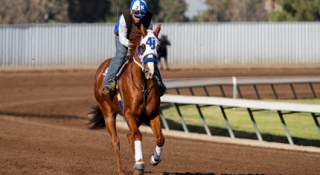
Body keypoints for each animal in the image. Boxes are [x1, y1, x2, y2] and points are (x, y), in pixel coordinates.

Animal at [87, 23, 165, 175]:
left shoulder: (152, 114)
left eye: (158, 47)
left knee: (130, 135)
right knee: (116, 141)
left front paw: (154, 159)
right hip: (107, 111)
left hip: (138, 118)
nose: (150, 71)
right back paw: (122, 170)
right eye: (142, 46)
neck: (143, 86)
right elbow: (138, 136)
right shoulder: (129, 113)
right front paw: (139, 164)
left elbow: (160, 139)